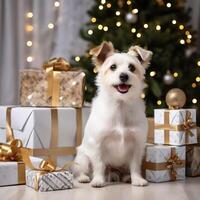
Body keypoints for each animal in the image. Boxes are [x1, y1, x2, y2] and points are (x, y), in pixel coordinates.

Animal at [74, 41, 152, 187]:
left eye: (132, 67)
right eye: (113, 67)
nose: (124, 76)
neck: (120, 105)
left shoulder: (137, 145)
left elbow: (135, 165)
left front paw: (137, 179)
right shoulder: (97, 143)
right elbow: (99, 164)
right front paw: (98, 180)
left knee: (124, 170)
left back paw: (126, 177)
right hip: (83, 158)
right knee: (83, 169)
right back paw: (84, 178)